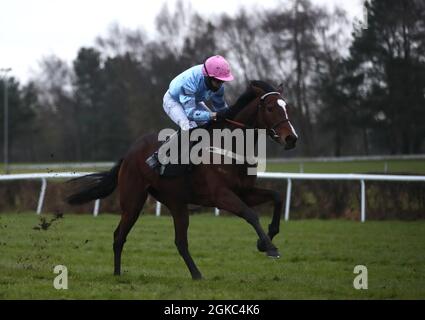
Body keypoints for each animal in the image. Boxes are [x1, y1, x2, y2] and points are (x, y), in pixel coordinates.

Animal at [66, 80, 298, 280]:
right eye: (270, 108)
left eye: (286, 107)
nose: (291, 139)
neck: (230, 145)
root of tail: (129, 154)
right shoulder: (221, 195)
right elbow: (250, 214)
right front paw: (270, 248)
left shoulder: (244, 191)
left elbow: (277, 197)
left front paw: (265, 240)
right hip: (133, 201)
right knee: (119, 236)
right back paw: (117, 274)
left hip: (176, 202)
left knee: (180, 242)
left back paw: (196, 274)